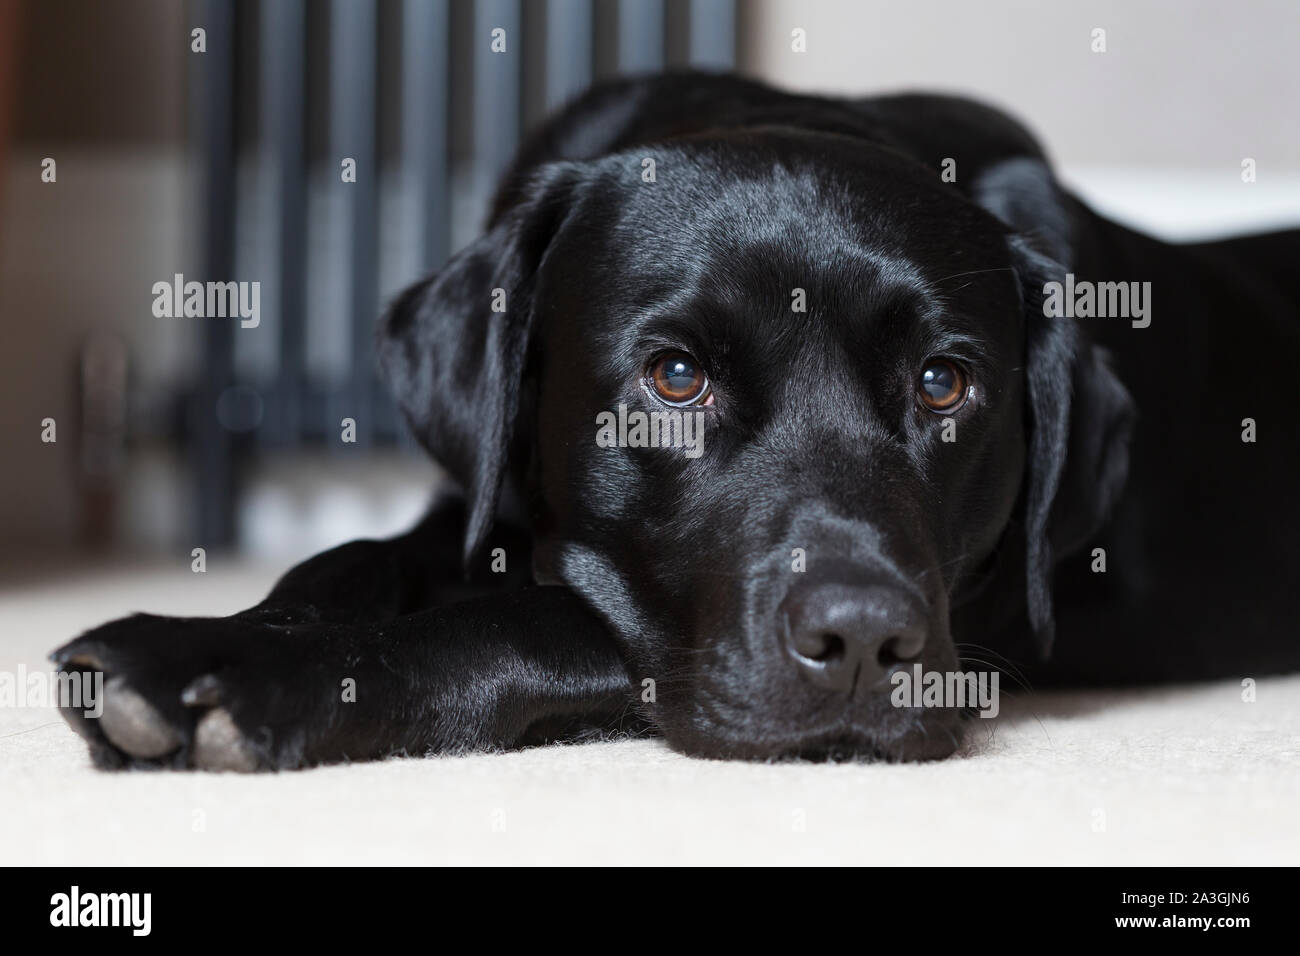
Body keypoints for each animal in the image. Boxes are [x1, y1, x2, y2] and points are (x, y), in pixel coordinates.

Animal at [50, 78, 1300, 775]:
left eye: (944, 384)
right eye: (676, 375)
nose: (863, 640)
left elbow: (515, 620)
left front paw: (256, 680)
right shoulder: (483, 494)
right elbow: (350, 557)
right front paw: (206, 640)